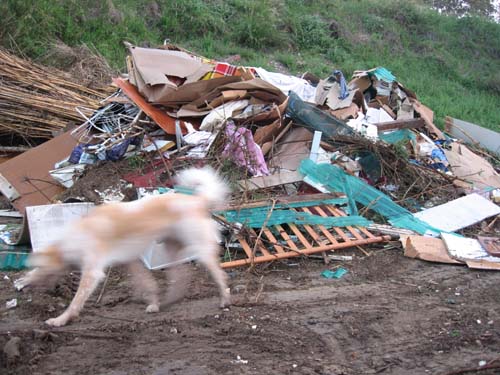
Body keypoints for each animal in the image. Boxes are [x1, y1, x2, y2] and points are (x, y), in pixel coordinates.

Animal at [15, 166, 230, 328]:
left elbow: (76, 301)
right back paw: (170, 300)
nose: (44, 289)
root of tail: (198, 200)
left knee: (220, 276)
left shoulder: (92, 273)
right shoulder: (131, 261)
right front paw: (154, 304)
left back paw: (225, 301)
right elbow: (148, 284)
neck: (75, 239)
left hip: (200, 250)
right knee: (181, 275)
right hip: (171, 250)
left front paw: (61, 319)